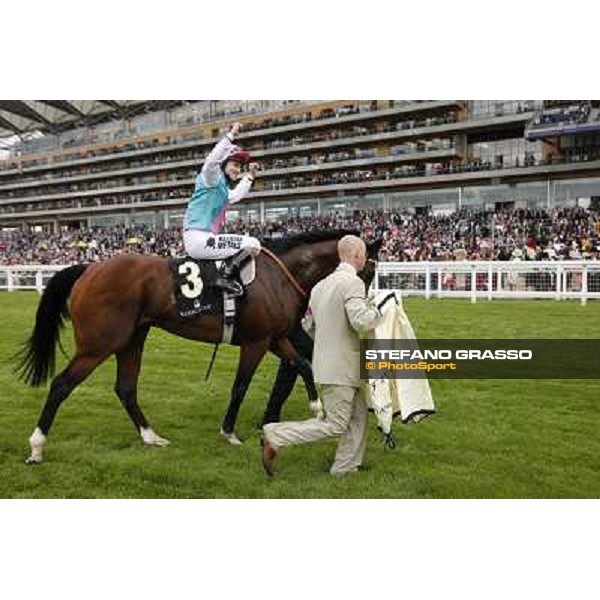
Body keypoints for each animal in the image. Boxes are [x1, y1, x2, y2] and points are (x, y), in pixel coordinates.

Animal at [16, 227, 382, 466]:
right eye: (370, 269)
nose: (363, 305)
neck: (279, 275)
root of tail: (89, 268)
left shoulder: (276, 338)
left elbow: (302, 364)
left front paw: (317, 407)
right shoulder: (256, 342)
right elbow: (240, 386)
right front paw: (229, 432)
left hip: (132, 339)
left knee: (125, 388)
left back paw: (151, 437)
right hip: (99, 344)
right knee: (62, 384)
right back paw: (36, 447)